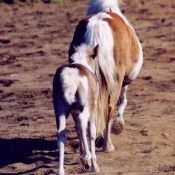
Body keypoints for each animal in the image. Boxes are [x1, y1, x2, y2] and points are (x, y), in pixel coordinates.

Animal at [52, 44, 100, 174]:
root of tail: (70, 77)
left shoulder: (74, 112)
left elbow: (78, 130)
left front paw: (85, 161)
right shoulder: (93, 111)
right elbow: (91, 131)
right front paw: (93, 165)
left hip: (60, 111)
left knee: (61, 135)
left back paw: (60, 171)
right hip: (86, 109)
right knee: (82, 122)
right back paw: (87, 155)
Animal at [68, 0, 142, 152]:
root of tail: (98, 26)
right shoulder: (123, 81)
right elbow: (122, 101)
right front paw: (118, 125)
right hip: (115, 80)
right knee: (109, 107)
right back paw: (107, 145)